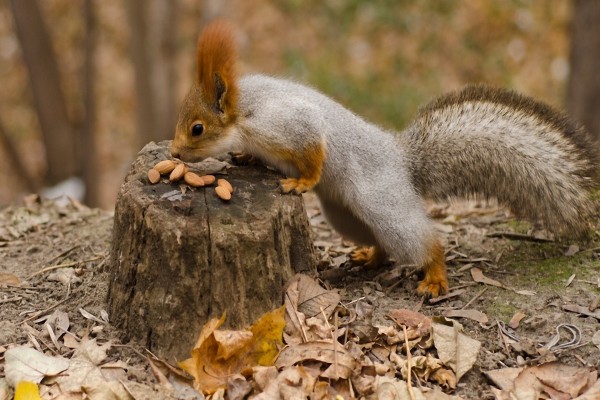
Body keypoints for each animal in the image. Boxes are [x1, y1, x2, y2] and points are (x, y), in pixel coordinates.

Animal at [171, 21, 596, 296]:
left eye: (197, 129)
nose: (174, 152)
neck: (243, 109)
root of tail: (403, 162)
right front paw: (243, 156)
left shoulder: (285, 124)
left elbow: (314, 149)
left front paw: (302, 181)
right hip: (345, 216)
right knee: (382, 244)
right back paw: (370, 257)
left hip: (383, 204)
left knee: (422, 241)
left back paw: (435, 276)